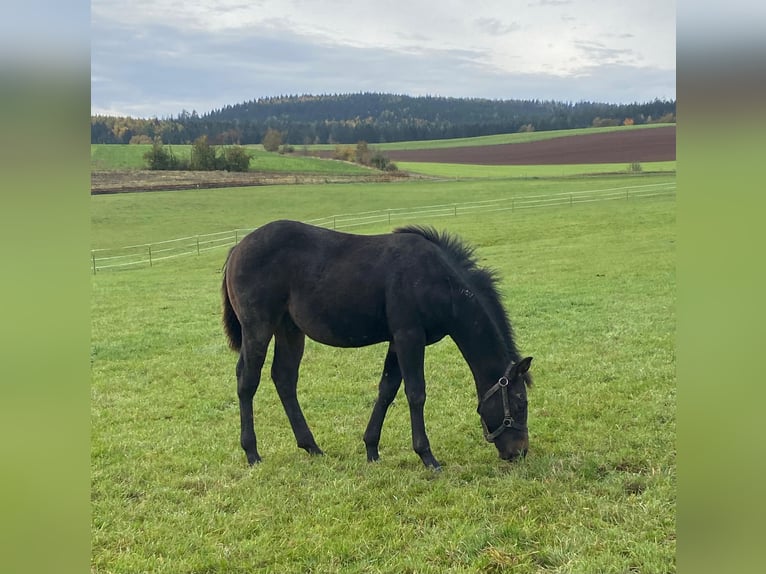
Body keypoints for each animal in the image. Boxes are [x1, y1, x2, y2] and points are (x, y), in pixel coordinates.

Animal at [222, 220, 536, 472]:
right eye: (520, 403)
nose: (519, 452)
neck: (438, 279)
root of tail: (236, 249)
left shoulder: (397, 341)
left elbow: (387, 389)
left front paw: (371, 449)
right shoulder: (409, 336)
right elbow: (415, 393)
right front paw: (427, 457)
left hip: (289, 330)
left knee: (284, 378)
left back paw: (311, 446)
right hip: (258, 328)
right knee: (247, 380)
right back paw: (252, 453)